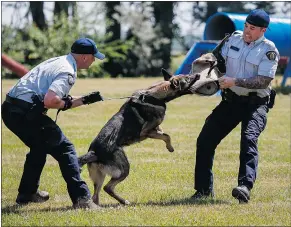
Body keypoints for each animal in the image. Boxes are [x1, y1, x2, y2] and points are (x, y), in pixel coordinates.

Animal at [78, 70, 201, 206]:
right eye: (187, 78)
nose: (198, 74)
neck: (155, 96)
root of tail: (94, 152)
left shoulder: (154, 128)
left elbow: (162, 131)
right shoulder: (146, 132)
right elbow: (166, 136)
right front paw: (170, 148)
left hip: (100, 176)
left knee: (96, 195)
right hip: (124, 168)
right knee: (107, 187)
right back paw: (124, 202)